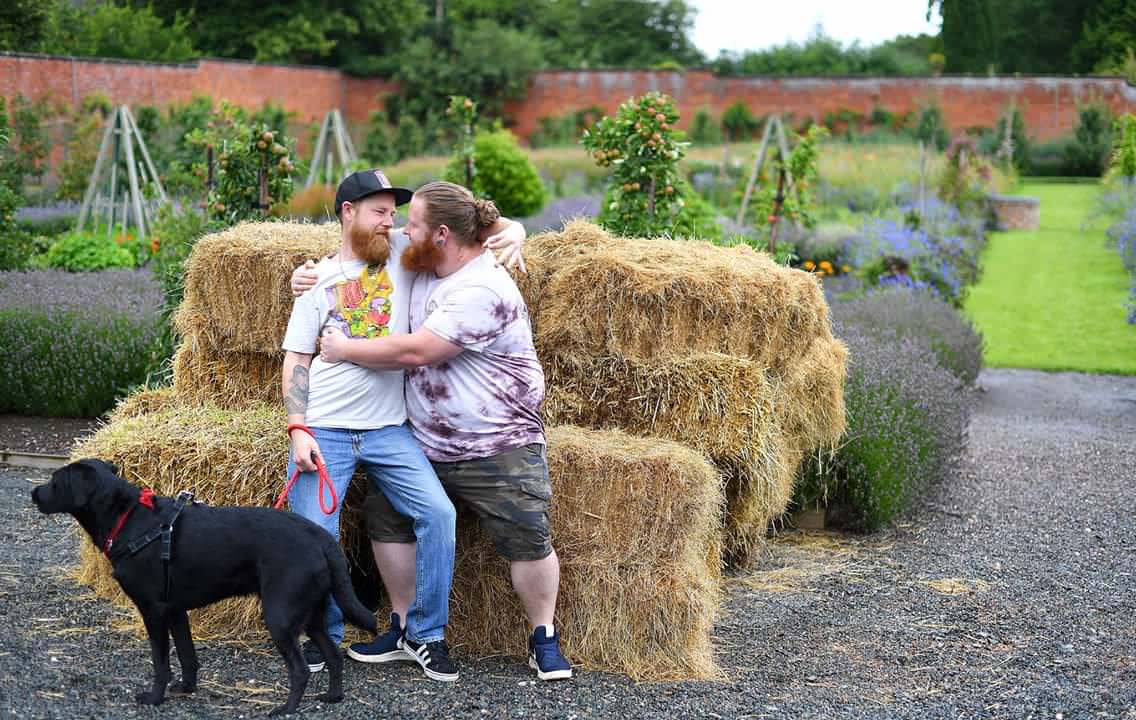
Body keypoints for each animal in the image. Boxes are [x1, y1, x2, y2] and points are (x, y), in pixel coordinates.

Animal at [29, 458, 377, 713]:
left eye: (56, 480)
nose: (33, 492)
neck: (128, 519)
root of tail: (319, 536)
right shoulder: (176, 610)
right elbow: (187, 655)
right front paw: (186, 688)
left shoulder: (153, 610)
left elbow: (161, 662)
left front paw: (154, 698)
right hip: (311, 614)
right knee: (332, 656)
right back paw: (333, 697)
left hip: (281, 616)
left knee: (301, 669)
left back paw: (285, 709)